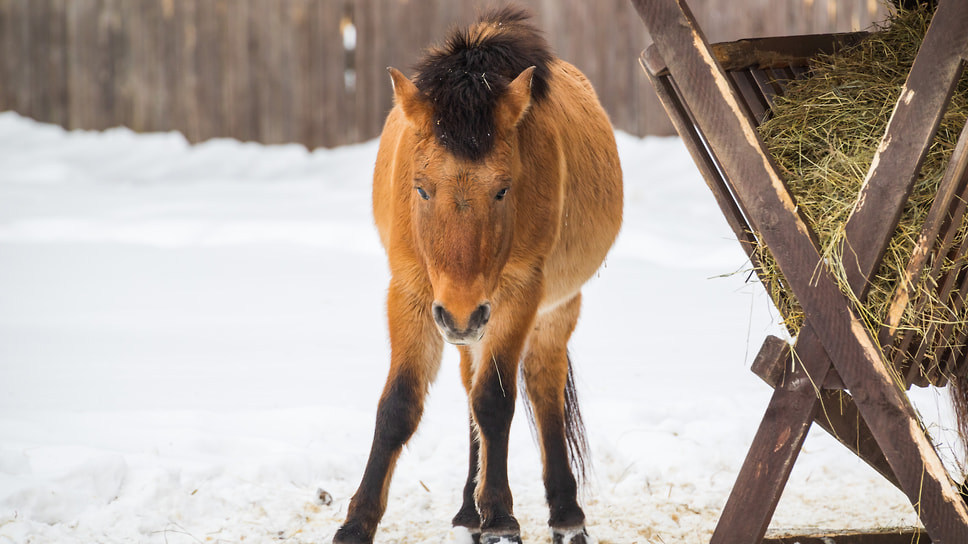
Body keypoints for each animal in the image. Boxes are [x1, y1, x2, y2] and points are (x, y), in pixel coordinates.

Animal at [332, 8, 620, 544]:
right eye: (421, 189)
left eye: (503, 189)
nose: (462, 313)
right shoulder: (412, 292)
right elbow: (398, 406)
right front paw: (356, 524)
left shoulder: (519, 295)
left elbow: (496, 402)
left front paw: (501, 517)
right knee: (471, 385)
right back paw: (469, 509)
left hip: (549, 310)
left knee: (542, 386)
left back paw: (564, 513)